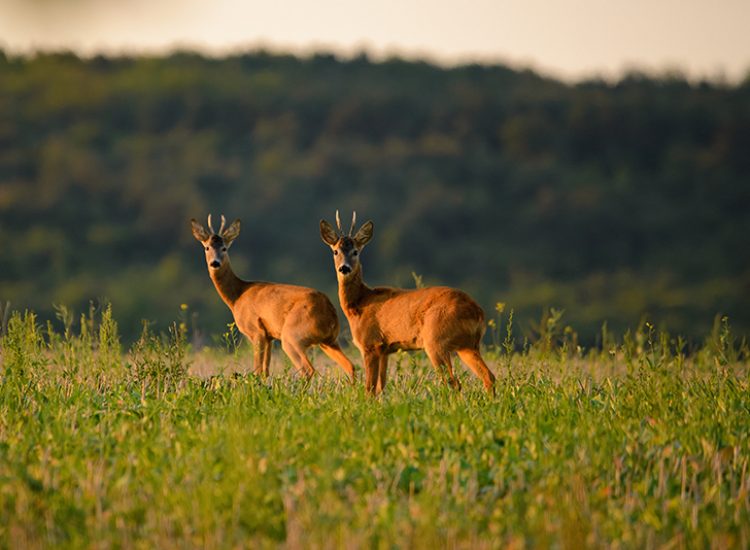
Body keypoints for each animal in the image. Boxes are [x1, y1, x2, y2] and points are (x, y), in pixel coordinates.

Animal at [194, 216, 358, 384]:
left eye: (224, 248)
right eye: (207, 247)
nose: (215, 263)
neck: (237, 296)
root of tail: (331, 314)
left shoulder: (256, 331)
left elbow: (257, 371)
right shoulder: (269, 336)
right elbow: (265, 372)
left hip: (293, 336)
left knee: (308, 370)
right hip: (328, 341)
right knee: (351, 366)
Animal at [320, 212, 496, 396]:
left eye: (355, 252)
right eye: (335, 251)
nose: (344, 268)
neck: (359, 304)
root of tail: (478, 312)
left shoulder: (370, 344)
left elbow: (369, 389)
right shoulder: (384, 350)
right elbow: (380, 388)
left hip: (436, 340)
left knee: (453, 382)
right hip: (468, 346)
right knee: (489, 377)